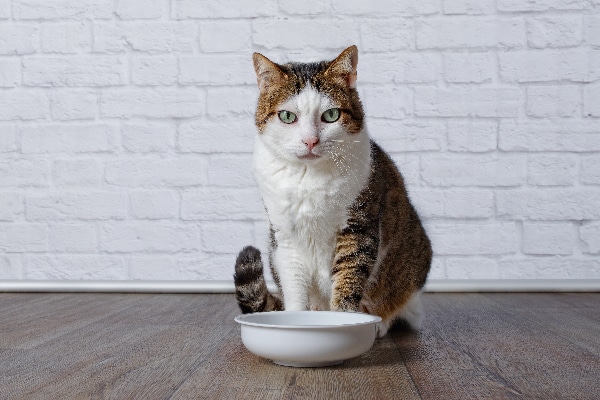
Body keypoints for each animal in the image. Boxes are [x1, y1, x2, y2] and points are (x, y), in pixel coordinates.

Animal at [233, 45, 432, 336]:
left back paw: (379, 323)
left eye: (331, 115)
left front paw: (344, 322)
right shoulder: (285, 236)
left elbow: (349, 279)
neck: (308, 178)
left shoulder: (357, 227)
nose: (310, 141)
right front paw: (293, 321)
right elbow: (294, 286)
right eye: (287, 116)